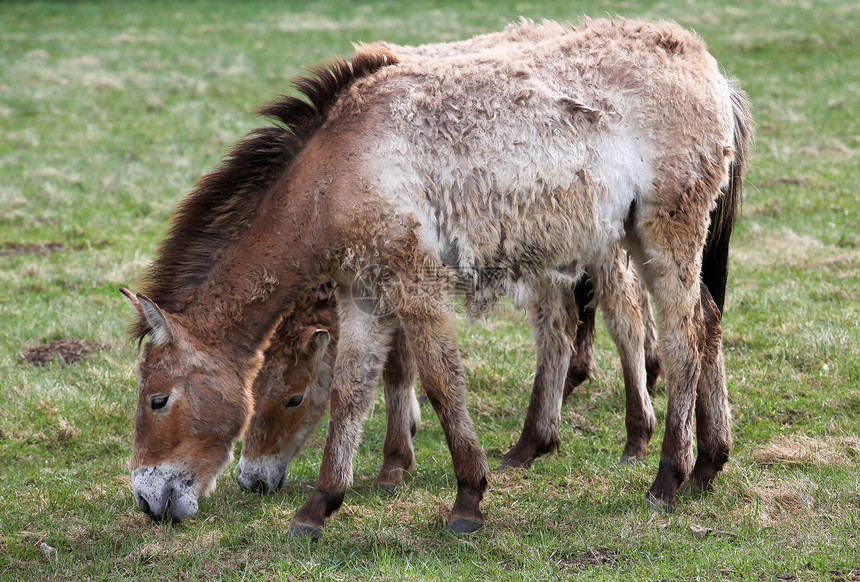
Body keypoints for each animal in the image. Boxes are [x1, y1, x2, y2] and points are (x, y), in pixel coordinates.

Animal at [121, 17, 744, 540]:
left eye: (158, 399)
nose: (148, 500)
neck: (337, 170)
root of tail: (707, 66)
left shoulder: (413, 283)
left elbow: (442, 382)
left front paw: (468, 497)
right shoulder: (362, 293)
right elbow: (352, 390)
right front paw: (318, 507)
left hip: (662, 236)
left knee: (680, 340)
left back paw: (667, 475)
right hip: (636, 238)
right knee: (704, 323)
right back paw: (709, 464)